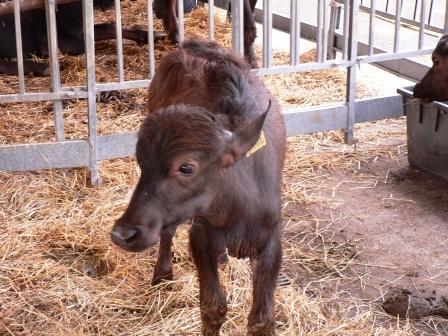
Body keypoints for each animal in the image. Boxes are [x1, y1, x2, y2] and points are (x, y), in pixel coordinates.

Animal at [112, 38, 288, 334]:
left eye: (186, 167)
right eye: (141, 161)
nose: (122, 234)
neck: (238, 209)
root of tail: (195, 43)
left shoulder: (271, 242)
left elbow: (262, 318)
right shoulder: (201, 235)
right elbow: (213, 306)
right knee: (168, 230)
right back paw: (162, 273)